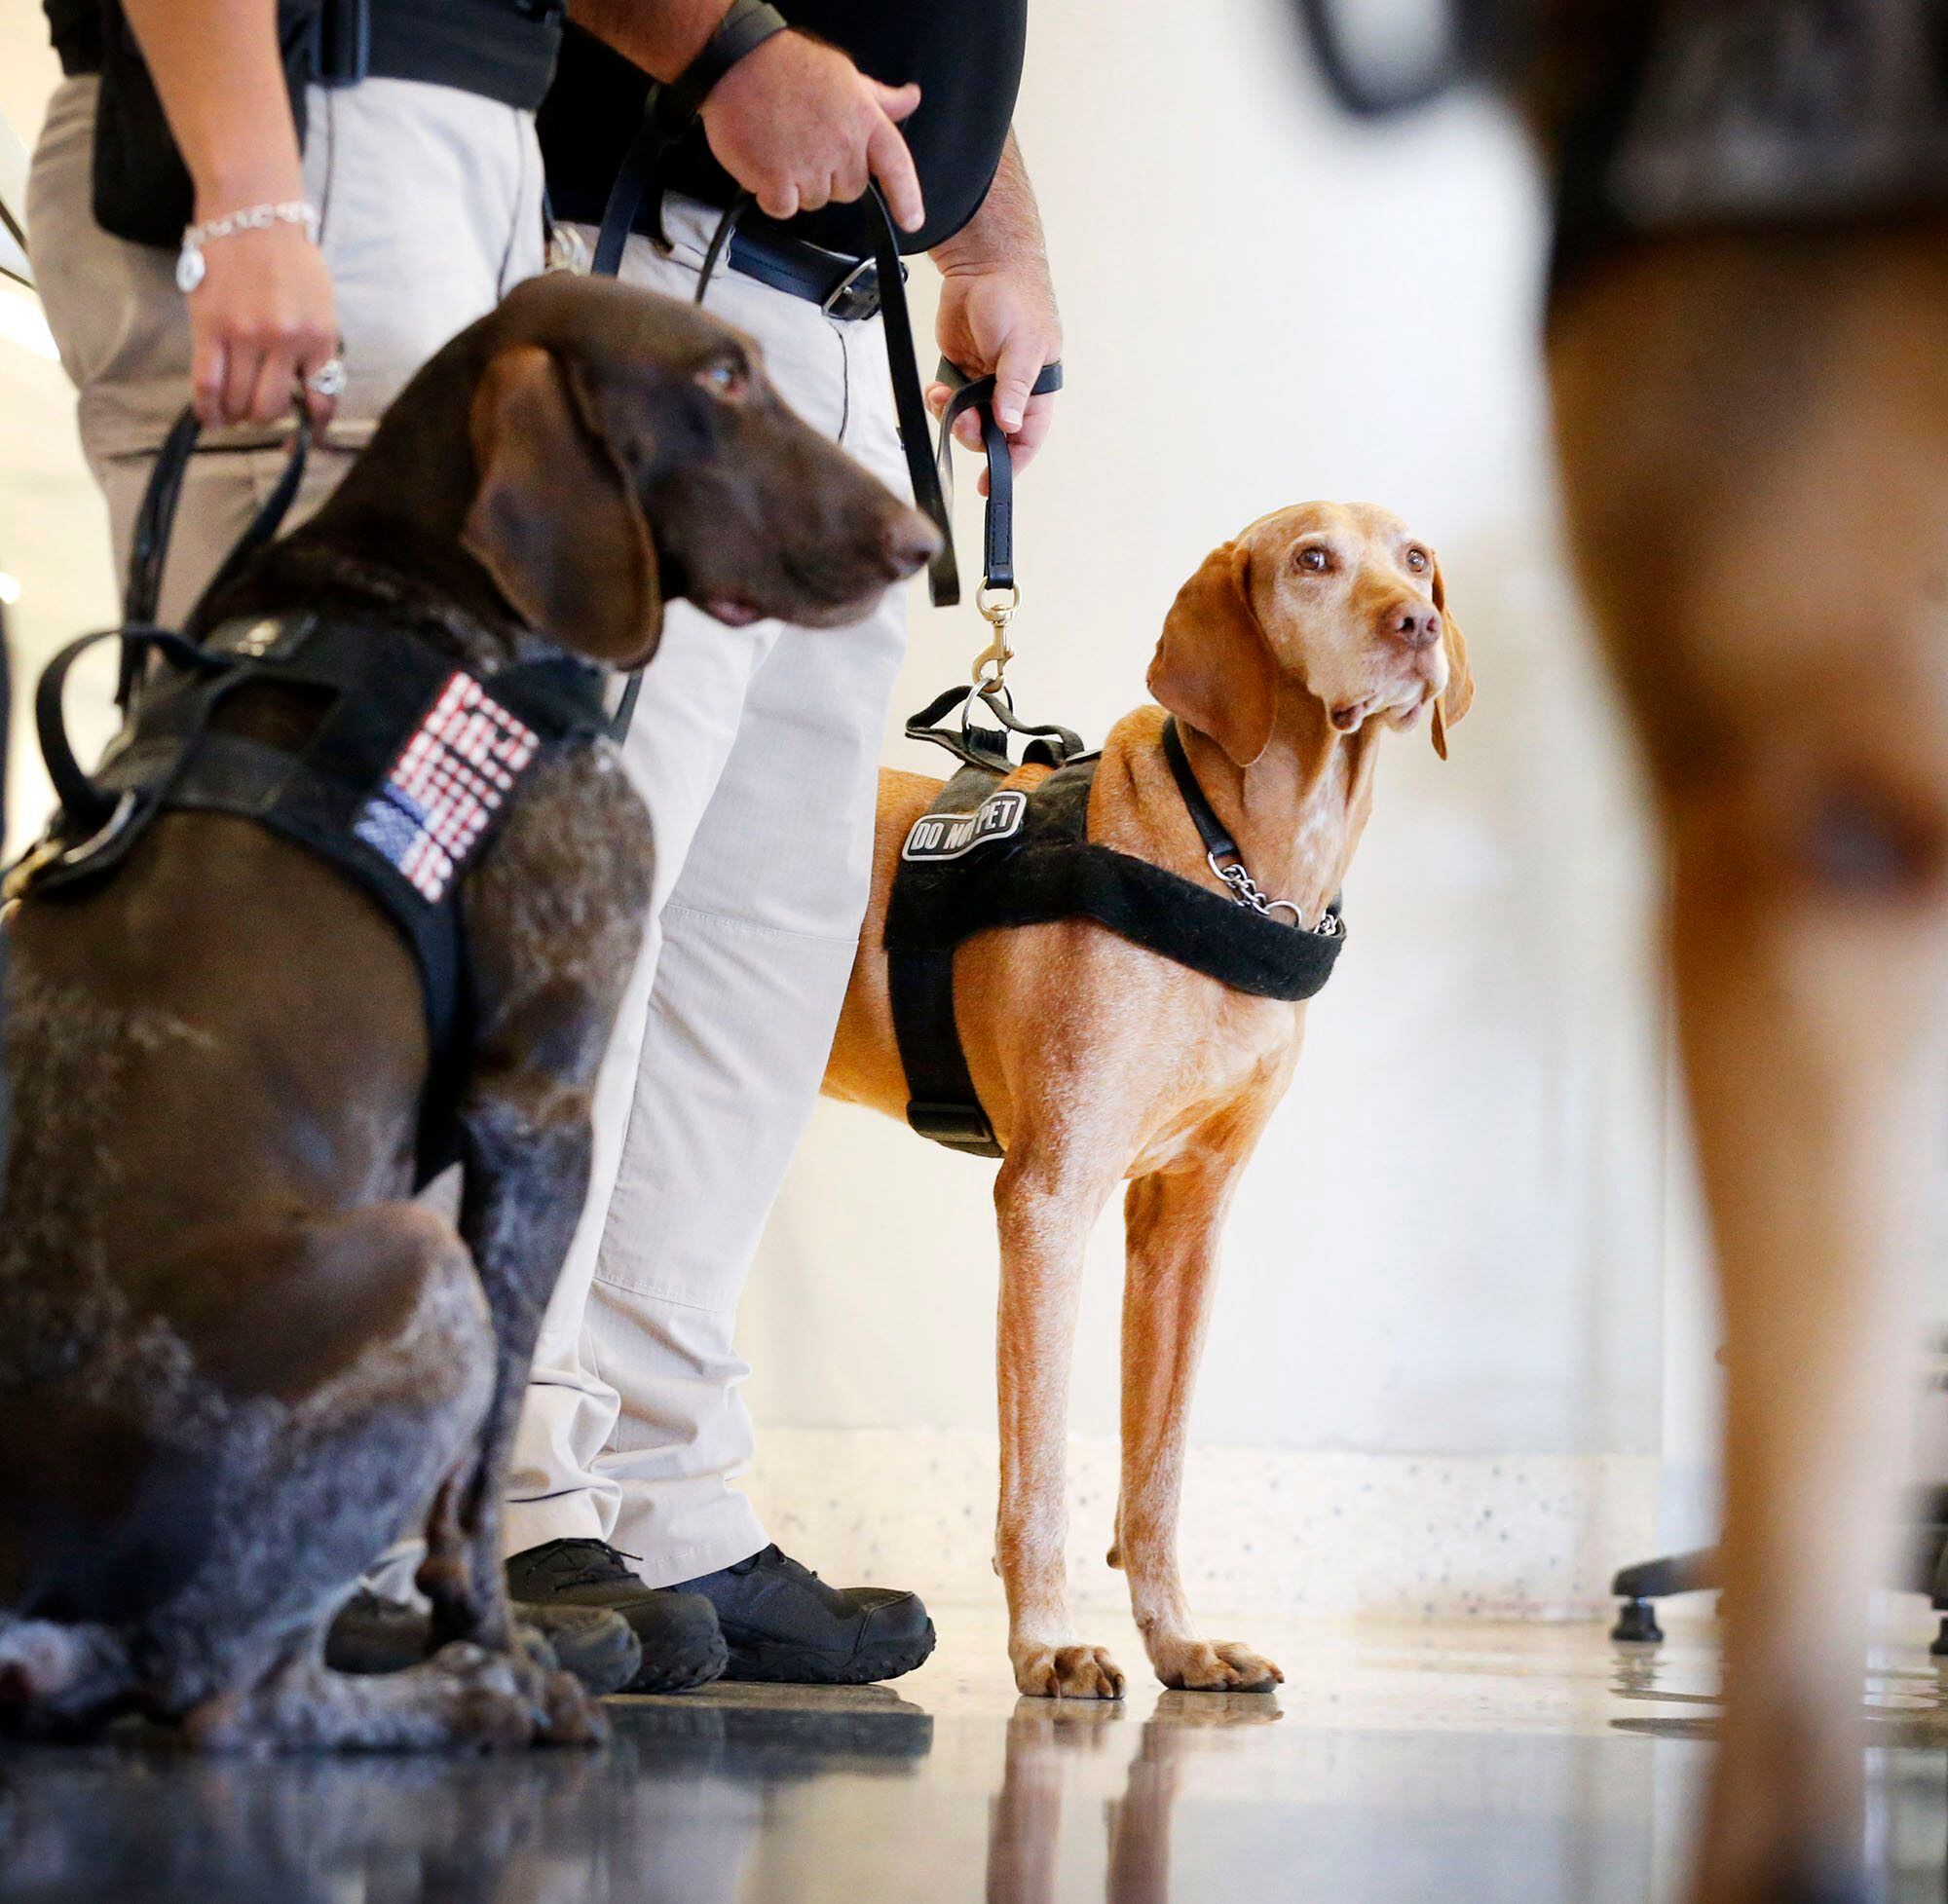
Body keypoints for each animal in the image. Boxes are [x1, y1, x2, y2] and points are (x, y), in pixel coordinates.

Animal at [0, 274, 935, 1744]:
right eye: (723, 377)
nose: (919, 538)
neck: (428, 592)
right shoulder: (539, 1105)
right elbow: (488, 1468)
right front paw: (504, 1630)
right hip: (416, 1268)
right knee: (227, 1696)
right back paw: (473, 1691)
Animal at [822, 502, 1473, 1690]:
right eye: (1312, 559)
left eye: (1414, 559)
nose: (1414, 623)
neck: (1238, 865)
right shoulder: (1046, 1197)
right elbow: (1035, 1473)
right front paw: (1043, 1645)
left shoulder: (1184, 1220)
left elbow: (1157, 1470)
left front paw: (1179, 1636)